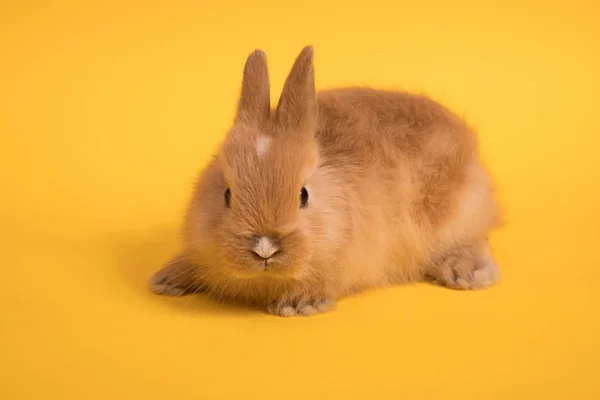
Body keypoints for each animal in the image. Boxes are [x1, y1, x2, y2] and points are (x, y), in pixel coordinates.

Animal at [150, 45, 502, 318]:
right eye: (226, 195)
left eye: (303, 195)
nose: (265, 249)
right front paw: (167, 279)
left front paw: (297, 305)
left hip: (457, 216)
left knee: (473, 241)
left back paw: (465, 274)